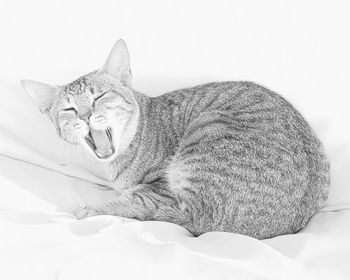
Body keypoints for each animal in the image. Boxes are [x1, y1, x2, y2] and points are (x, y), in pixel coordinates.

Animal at [22, 38, 330, 238]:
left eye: (99, 97)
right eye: (69, 109)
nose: (85, 116)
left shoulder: (160, 187)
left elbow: (135, 199)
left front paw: (95, 209)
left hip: (206, 132)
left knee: (187, 218)